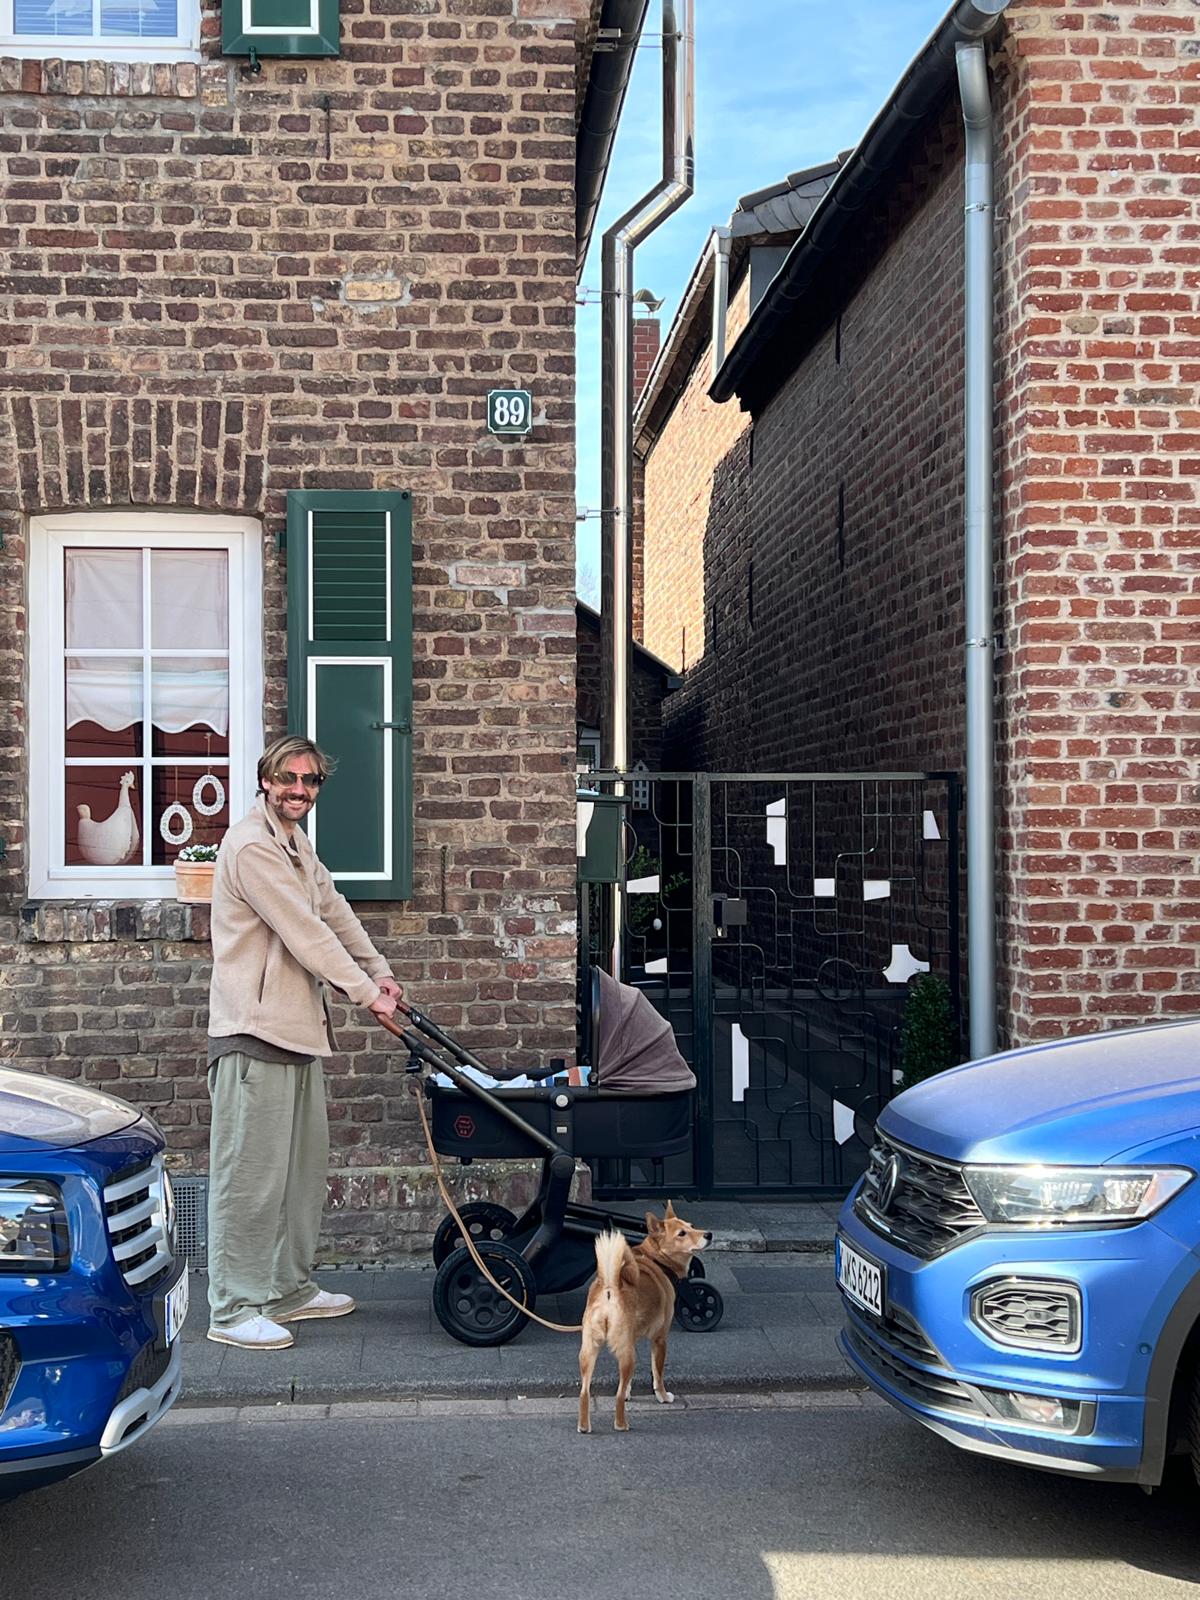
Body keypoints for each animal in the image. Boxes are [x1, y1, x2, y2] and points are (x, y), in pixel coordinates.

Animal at [577, 1200, 712, 1433]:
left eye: (691, 1226)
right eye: (682, 1233)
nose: (709, 1234)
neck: (657, 1260)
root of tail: (610, 1287)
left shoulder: (632, 1340)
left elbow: (628, 1383)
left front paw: (630, 1393)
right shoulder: (659, 1339)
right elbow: (657, 1375)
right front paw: (663, 1397)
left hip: (590, 1351)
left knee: (584, 1391)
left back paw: (584, 1426)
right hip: (626, 1355)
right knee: (616, 1396)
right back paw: (621, 1424)